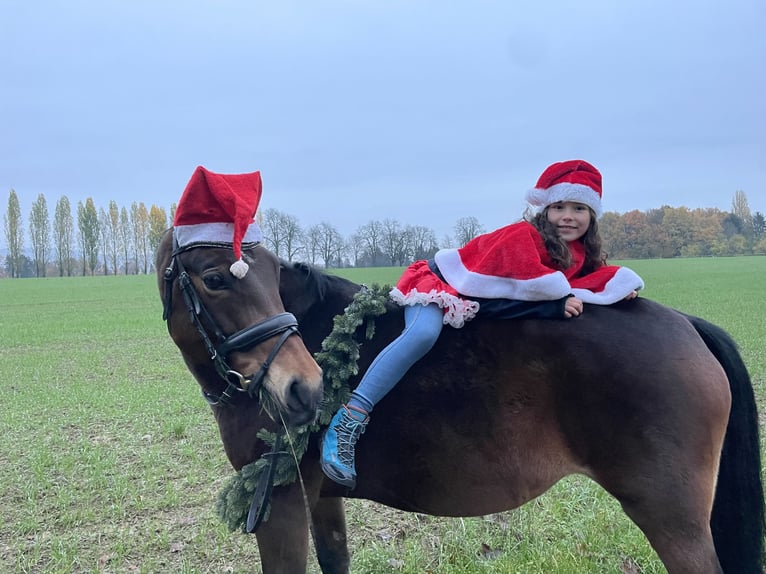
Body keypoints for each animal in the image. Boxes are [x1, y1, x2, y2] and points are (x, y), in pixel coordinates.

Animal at [158, 232, 766, 574]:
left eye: (267, 275)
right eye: (215, 278)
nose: (304, 389)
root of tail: (686, 323)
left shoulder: (279, 507)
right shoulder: (320, 500)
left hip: (673, 521)